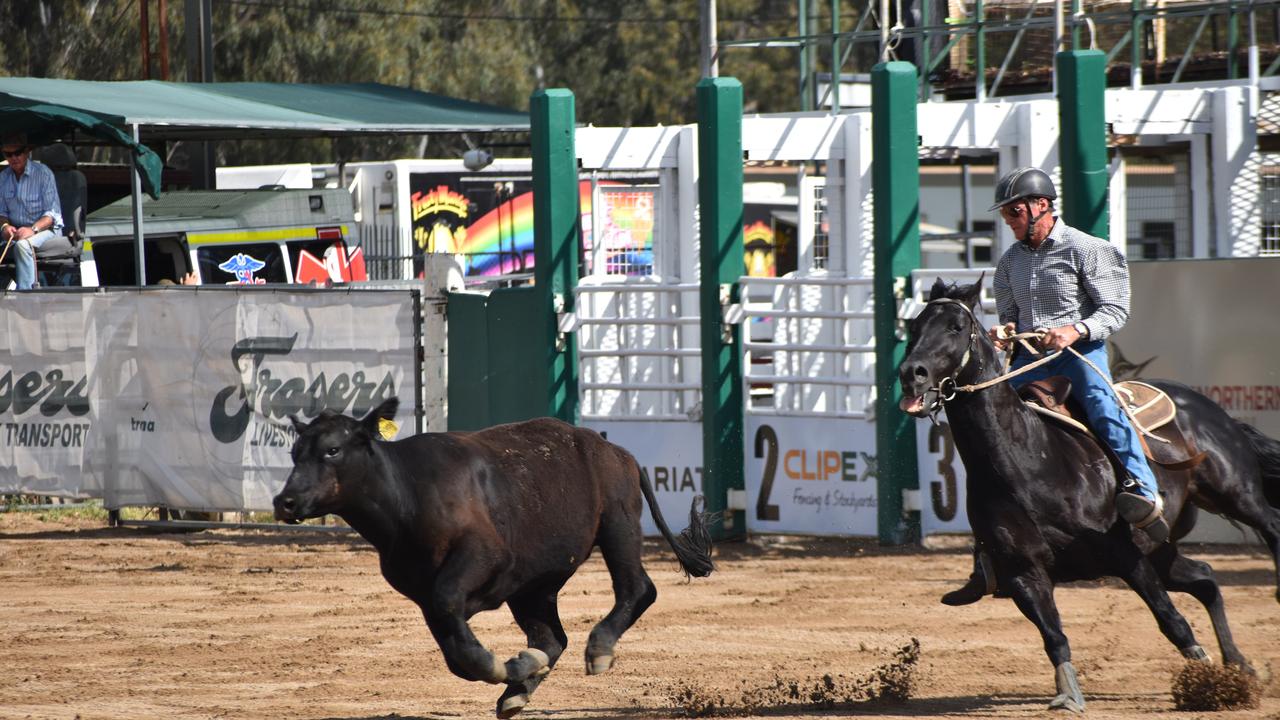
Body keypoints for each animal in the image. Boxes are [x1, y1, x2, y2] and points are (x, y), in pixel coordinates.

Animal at [901, 278, 1280, 707]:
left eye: (955, 327)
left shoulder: (1125, 554)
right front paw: (1068, 694)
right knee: (1205, 579)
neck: (1028, 461)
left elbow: (1172, 620)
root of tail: (1205, 406)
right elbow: (1054, 636)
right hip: (1162, 548)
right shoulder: (1023, 573)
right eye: (914, 326)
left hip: (1233, 491)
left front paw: (1203, 677)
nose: (911, 374)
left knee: (1270, 524)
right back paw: (1238, 664)